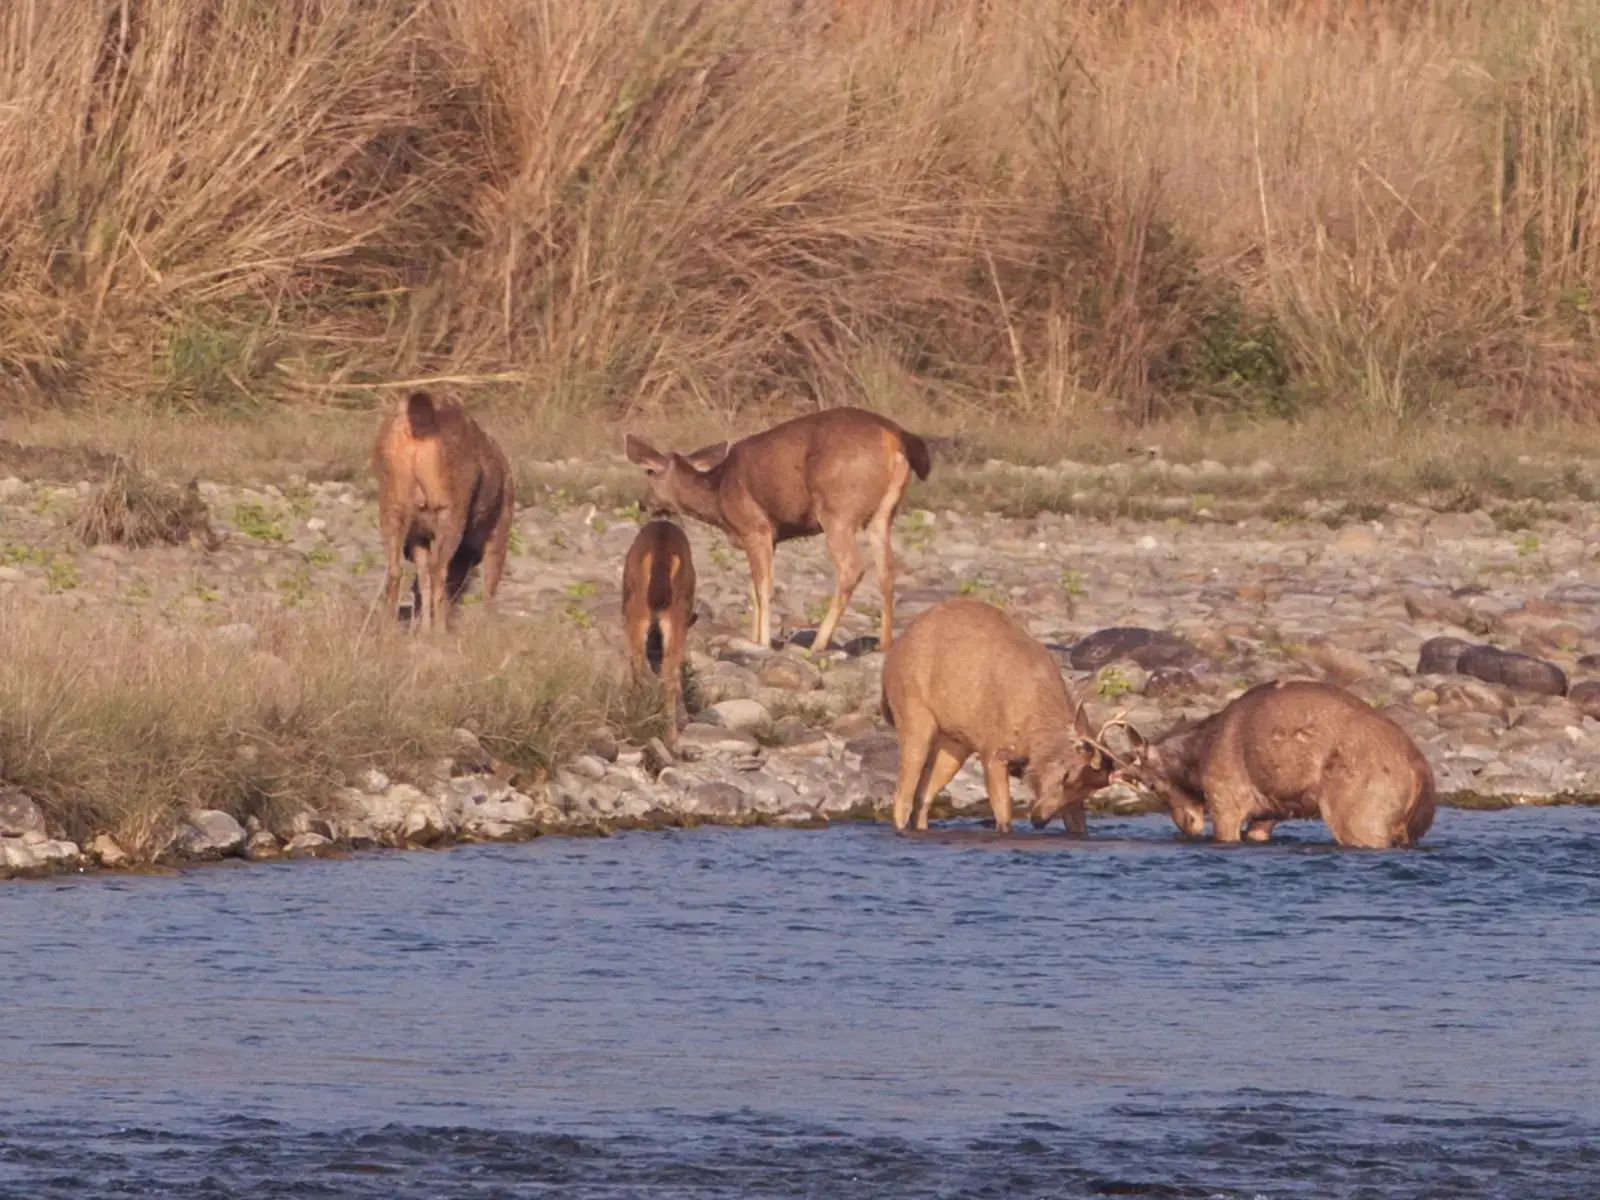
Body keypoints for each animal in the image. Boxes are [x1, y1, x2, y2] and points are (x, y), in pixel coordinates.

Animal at [372, 392, 512, 640]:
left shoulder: (417, 535)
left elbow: (421, 580)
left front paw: (423, 629)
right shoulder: (499, 528)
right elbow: (489, 584)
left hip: (391, 504)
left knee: (396, 569)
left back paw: (390, 629)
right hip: (449, 510)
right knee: (439, 569)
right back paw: (440, 631)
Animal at [620, 412, 934, 659]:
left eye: (649, 472)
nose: (643, 503)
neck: (718, 495)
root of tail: (895, 438)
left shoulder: (755, 526)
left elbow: (763, 588)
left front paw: (761, 642)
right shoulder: (770, 536)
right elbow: (752, 589)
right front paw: (752, 638)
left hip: (838, 509)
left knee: (851, 568)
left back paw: (819, 643)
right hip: (883, 513)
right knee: (887, 569)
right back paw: (884, 644)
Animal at [876, 601, 1113, 838]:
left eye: (1086, 791)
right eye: (1066, 777)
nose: (1038, 820)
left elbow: (1078, 825)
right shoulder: (993, 750)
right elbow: (1004, 816)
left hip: (955, 743)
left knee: (922, 796)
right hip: (914, 715)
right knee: (902, 794)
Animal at [1113, 681, 1440, 851]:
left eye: (1152, 784)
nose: (1186, 825)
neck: (1197, 756)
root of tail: (1421, 774)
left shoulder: (1225, 799)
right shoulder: (1269, 812)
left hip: (1360, 818)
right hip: (1407, 828)